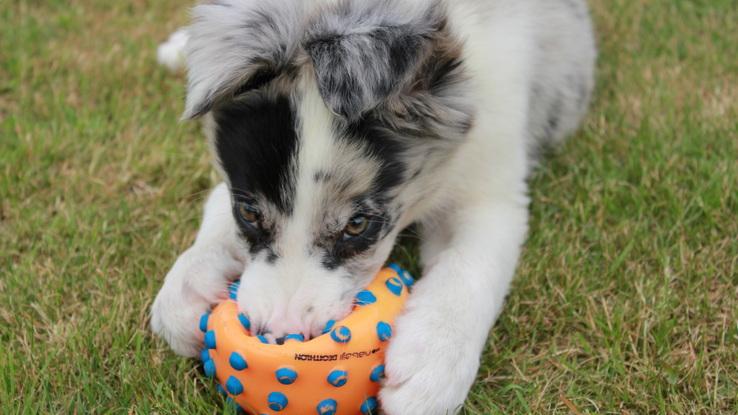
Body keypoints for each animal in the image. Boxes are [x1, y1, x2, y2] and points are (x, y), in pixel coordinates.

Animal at [150, 0, 592, 412]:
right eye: (250, 214)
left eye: (357, 225)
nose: (278, 334)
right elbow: (214, 216)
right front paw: (184, 292)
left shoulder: (492, 187)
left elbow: (471, 264)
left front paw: (432, 368)